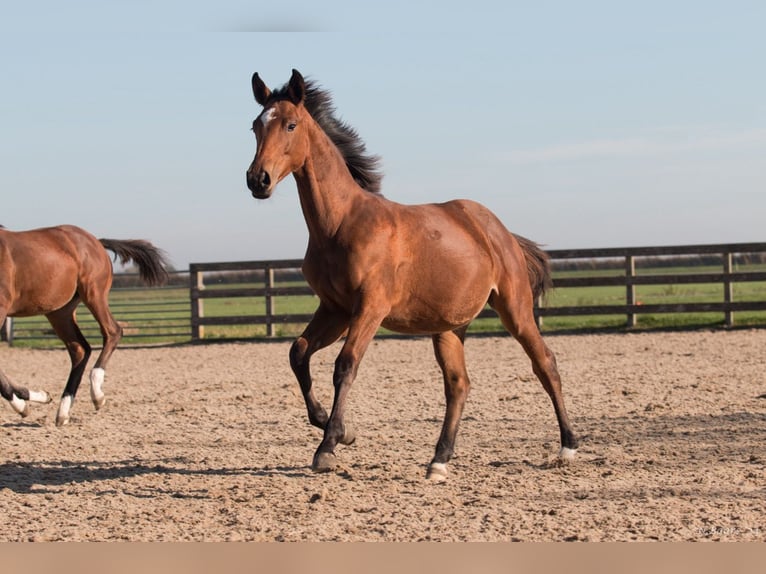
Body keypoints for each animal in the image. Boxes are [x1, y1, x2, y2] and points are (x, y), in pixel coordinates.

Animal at [0, 225, 169, 428]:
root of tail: (96, 241)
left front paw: (22, 406)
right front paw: (36, 398)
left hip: (93, 293)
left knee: (112, 332)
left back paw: (97, 394)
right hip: (59, 311)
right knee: (80, 349)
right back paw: (63, 410)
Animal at [244, 68, 576, 482]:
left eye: (290, 124)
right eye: (256, 125)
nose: (258, 180)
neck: (340, 224)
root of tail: (498, 230)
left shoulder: (369, 307)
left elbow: (345, 365)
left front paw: (329, 446)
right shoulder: (334, 309)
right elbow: (299, 353)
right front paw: (339, 429)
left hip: (514, 308)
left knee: (545, 363)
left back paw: (567, 447)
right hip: (449, 327)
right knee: (458, 384)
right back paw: (439, 460)